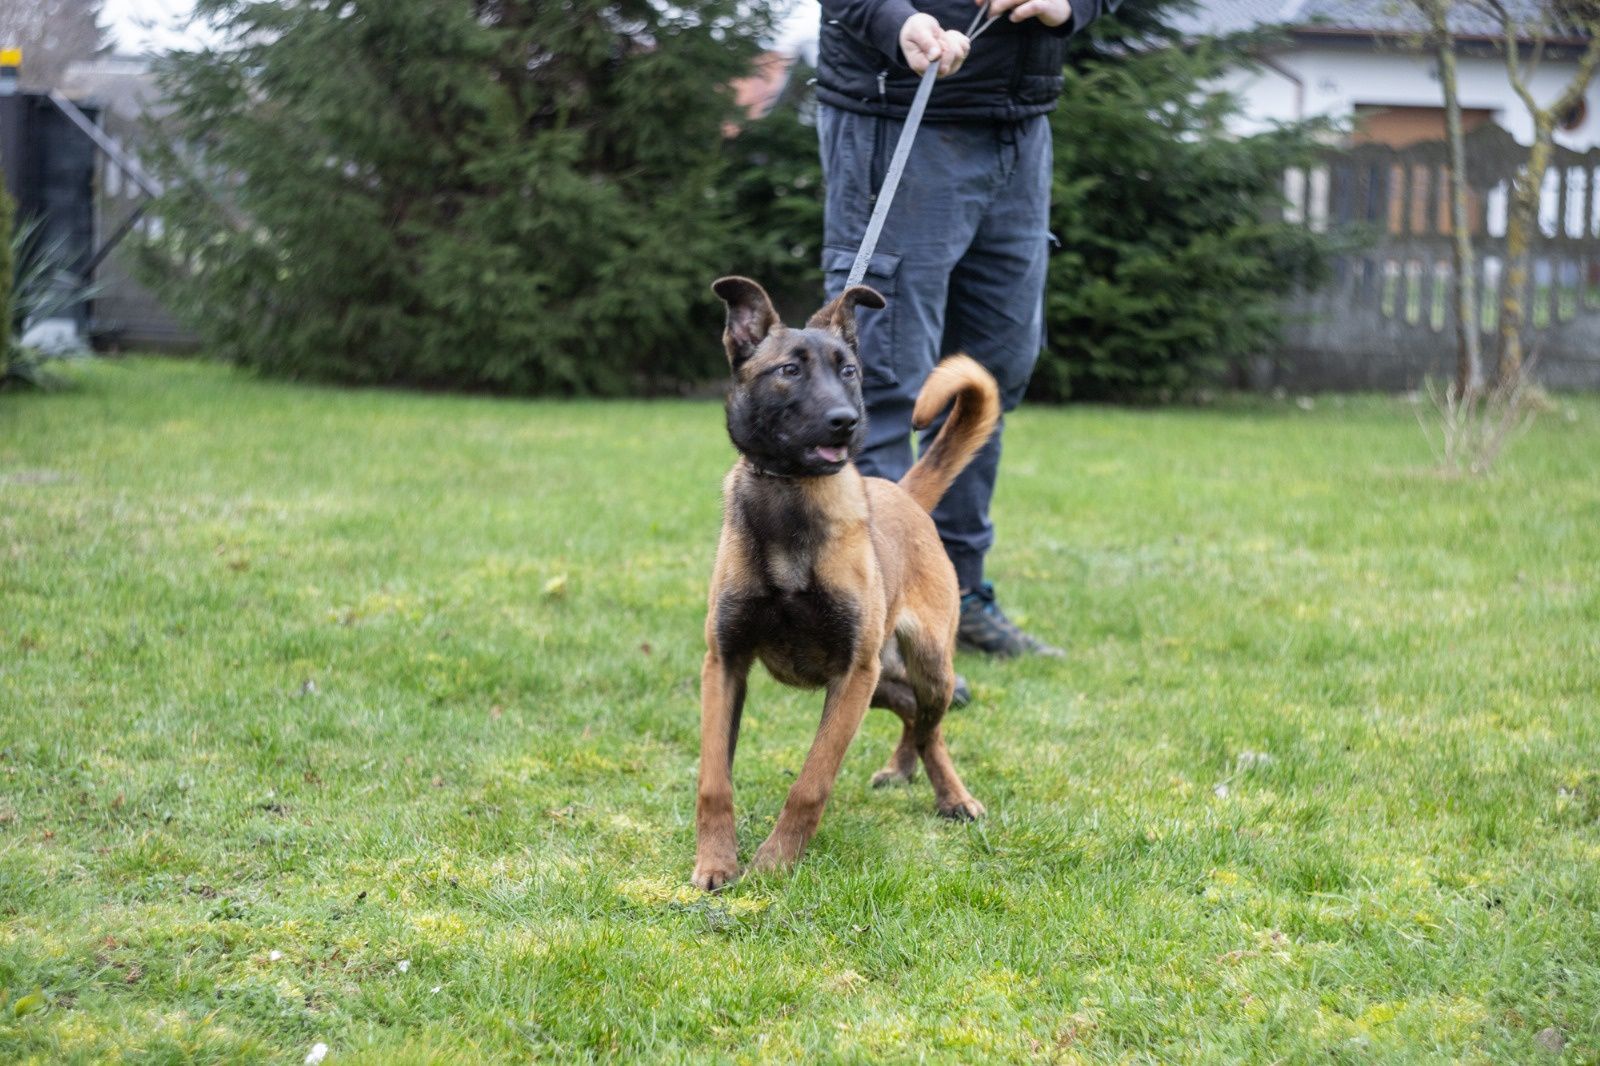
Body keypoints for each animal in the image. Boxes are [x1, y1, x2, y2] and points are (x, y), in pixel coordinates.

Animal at [691, 275, 998, 889]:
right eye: (789, 369)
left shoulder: (852, 671)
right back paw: (904, 768)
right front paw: (715, 861)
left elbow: (811, 784)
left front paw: (774, 864)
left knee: (931, 726)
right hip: (879, 680)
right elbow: (715, 778)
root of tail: (903, 493)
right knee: (912, 713)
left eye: (850, 371)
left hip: (925, 666)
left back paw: (952, 796)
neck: (789, 498)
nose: (845, 421)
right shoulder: (725, 662)